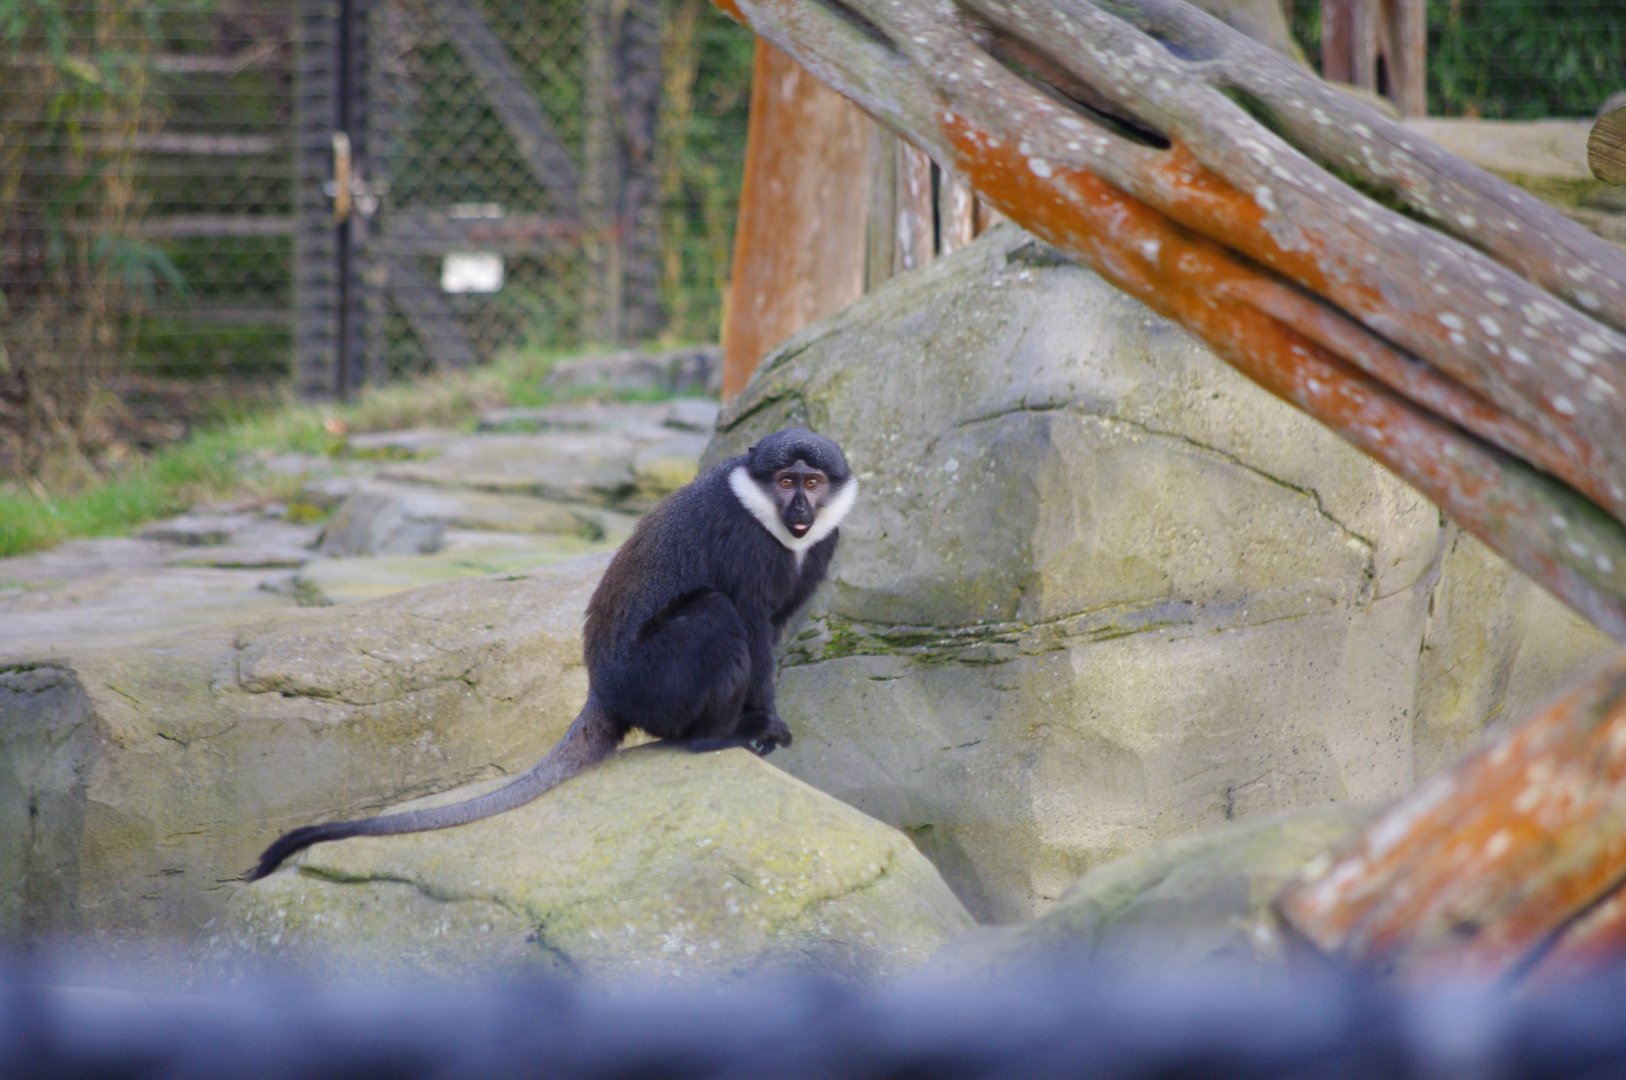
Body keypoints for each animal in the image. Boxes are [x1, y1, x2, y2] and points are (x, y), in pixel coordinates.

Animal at [248, 428, 856, 880]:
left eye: (813, 481)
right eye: (786, 480)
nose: (799, 505)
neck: (770, 518)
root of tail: (602, 690)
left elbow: (774, 629)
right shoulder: (743, 541)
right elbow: (751, 621)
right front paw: (764, 720)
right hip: (654, 682)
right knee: (715, 613)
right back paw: (715, 737)